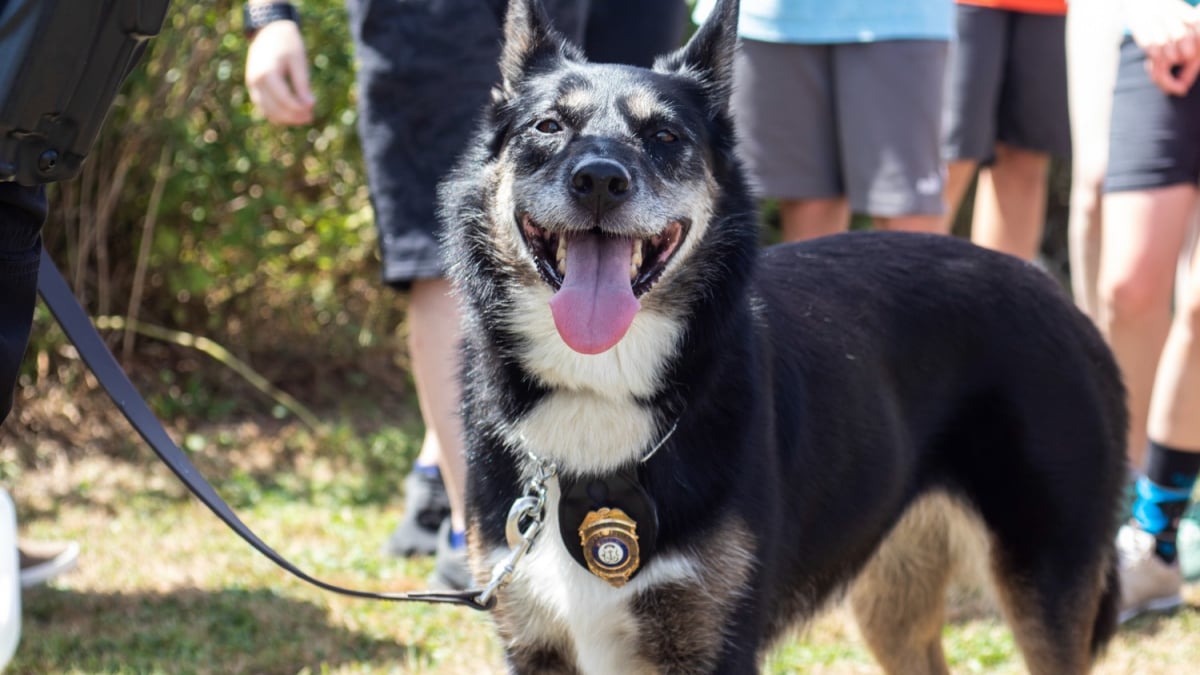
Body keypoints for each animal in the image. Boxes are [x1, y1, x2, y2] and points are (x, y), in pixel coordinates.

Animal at [439, 0, 1123, 667]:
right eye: (549, 126)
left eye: (665, 136)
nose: (600, 181)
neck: (601, 386)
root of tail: (1060, 298)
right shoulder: (534, 637)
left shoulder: (715, 642)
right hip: (893, 593)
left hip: (1043, 583)